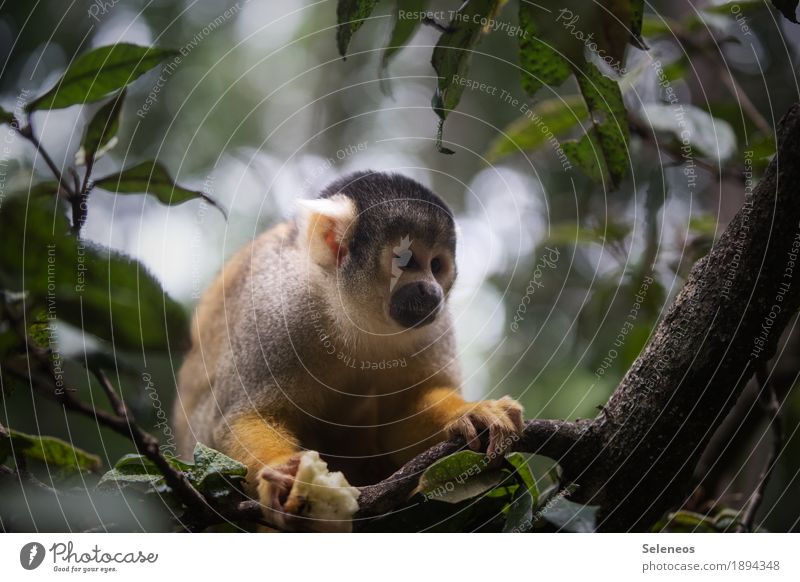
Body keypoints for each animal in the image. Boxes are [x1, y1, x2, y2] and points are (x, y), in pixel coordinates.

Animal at [173, 171, 524, 532]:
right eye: (407, 260)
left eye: (437, 265)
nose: (431, 291)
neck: (352, 314)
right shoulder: (277, 308)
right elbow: (243, 415)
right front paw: (284, 470)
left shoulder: (433, 326)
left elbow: (400, 424)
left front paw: (469, 412)